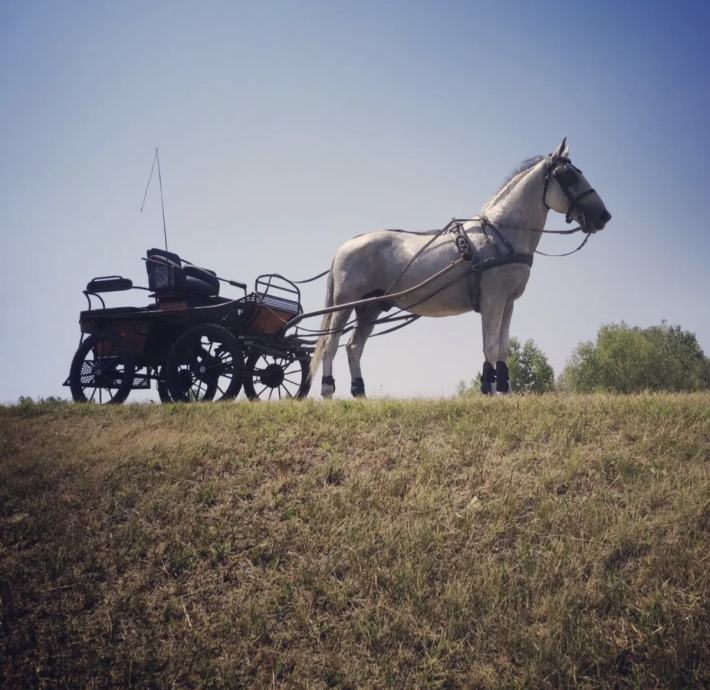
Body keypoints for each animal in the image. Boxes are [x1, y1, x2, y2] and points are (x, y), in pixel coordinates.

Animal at [308, 138, 611, 397]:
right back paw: (327, 390)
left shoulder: (508, 303)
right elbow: (490, 347)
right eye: (569, 177)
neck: (500, 233)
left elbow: (503, 349)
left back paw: (359, 394)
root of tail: (344, 246)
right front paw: (490, 391)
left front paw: (505, 391)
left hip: (369, 308)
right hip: (345, 304)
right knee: (331, 344)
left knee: (353, 347)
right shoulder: (492, 300)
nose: (604, 216)